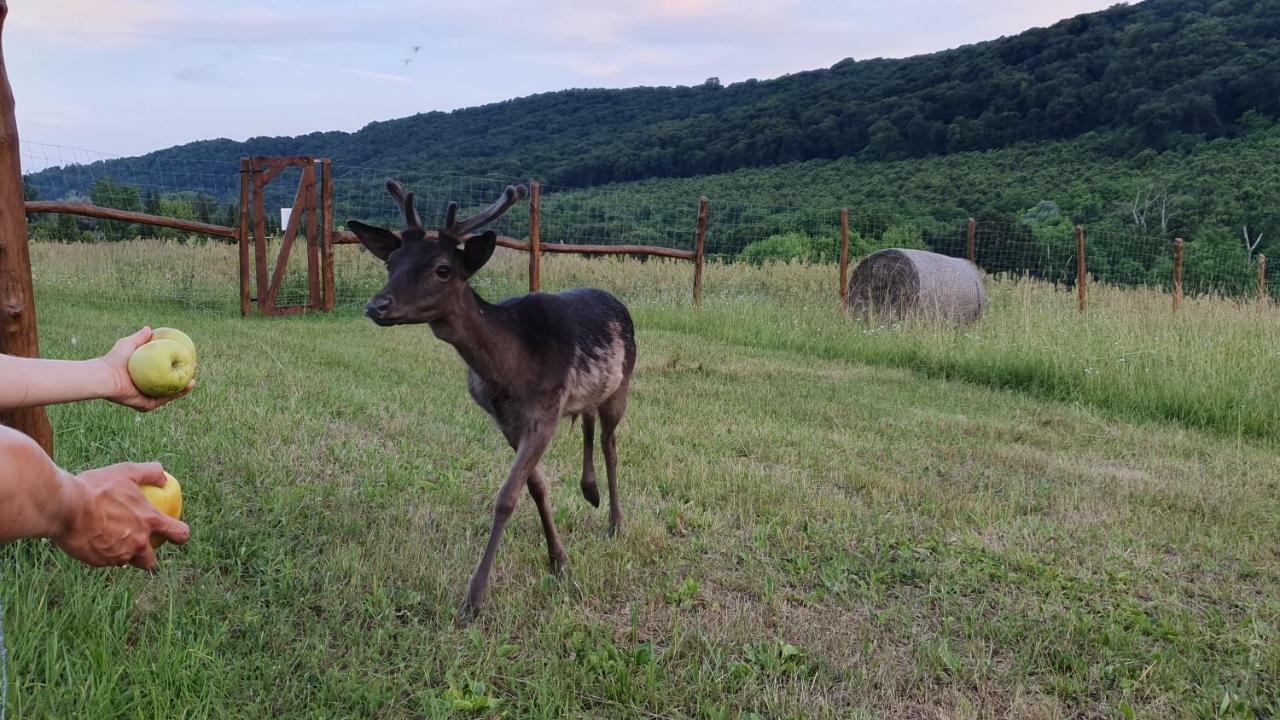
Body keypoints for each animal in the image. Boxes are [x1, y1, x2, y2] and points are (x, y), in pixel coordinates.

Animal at [345, 179, 634, 617]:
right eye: (390, 263)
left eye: (442, 269)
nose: (377, 305)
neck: (510, 370)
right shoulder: (507, 420)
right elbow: (537, 488)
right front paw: (558, 560)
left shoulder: (545, 412)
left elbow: (506, 497)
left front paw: (474, 598)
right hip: (588, 392)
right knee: (586, 421)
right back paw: (590, 491)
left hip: (623, 384)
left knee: (610, 443)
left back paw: (615, 522)